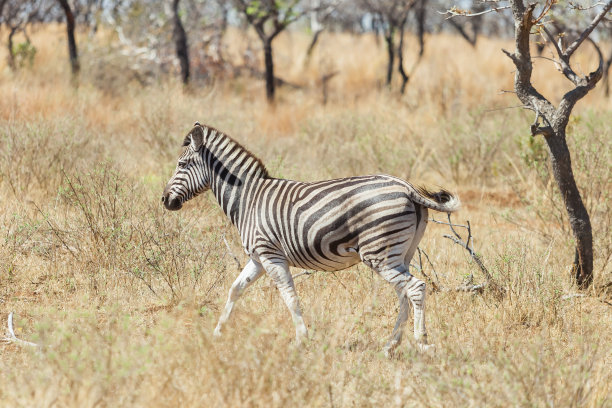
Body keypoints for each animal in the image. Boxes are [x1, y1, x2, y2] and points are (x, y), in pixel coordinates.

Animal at [163, 122, 460, 356]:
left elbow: (290, 296)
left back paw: (421, 342)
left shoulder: (270, 255)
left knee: (416, 288)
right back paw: (391, 344)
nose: (164, 200)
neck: (248, 199)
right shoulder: (258, 258)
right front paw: (217, 333)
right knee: (403, 292)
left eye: (181, 164)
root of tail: (407, 187)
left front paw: (301, 340)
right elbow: (235, 289)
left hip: (380, 254)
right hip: (400, 254)